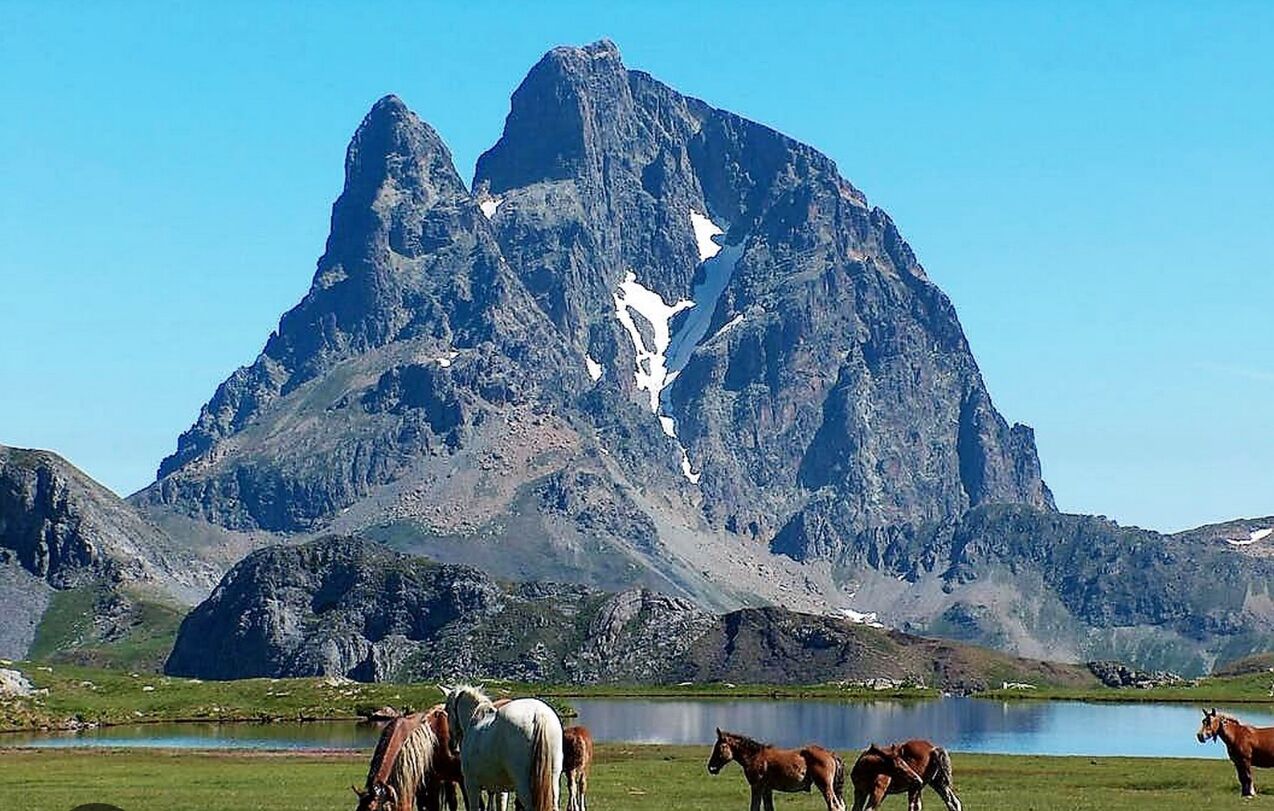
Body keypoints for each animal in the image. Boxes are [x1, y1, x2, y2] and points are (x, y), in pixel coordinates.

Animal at [706, 727, 845, 811]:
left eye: (719, 747)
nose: (711, 767)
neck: (754, 756)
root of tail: (830, 754)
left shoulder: (757, 786)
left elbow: (754, 807)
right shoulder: (767, 789)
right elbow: (769, 808)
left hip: (825, 786)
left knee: (834, 806)